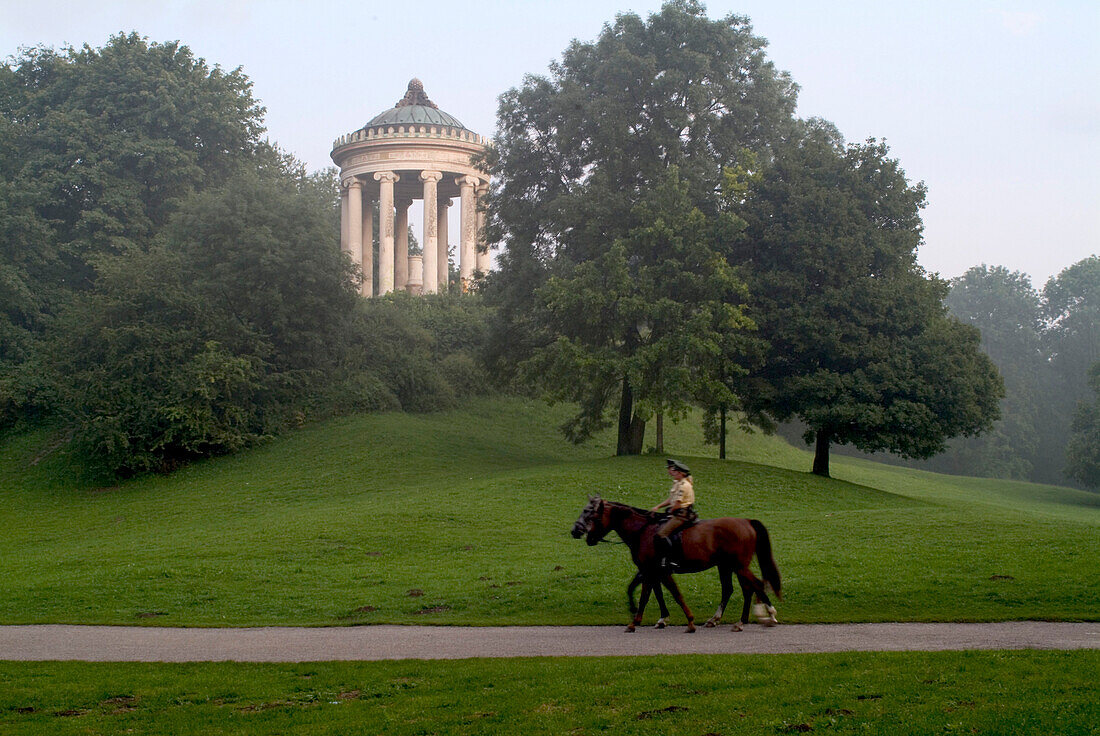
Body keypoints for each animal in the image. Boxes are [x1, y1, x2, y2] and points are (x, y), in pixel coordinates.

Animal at [572, 492, 778, 633]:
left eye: (590, 514)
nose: (575, 531)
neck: (643, 531)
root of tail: (746, 522)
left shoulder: (656, 571)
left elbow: (665, 594)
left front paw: (688, 621)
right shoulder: (652, 571)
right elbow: (652, 593)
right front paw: (660, 618)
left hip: (738, 566)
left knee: (754, 585)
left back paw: (765, 615)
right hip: (727, 566)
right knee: (736, 589)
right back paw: (725, 619)